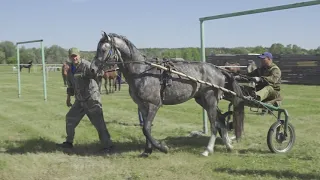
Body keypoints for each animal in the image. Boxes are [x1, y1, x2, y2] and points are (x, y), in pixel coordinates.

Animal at [90, 32, 245, 158]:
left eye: (103, 49)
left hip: (210, 100)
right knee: (221, 121)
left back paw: (208, 150)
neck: (141, 71)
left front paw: (162, 147)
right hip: (202, 100)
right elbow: (146, 128)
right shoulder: (142, 106)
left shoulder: (154, 104)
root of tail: (218, 70)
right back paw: (228, 145)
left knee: (214, 125)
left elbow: (146, 128)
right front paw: (147, 151)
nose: (92, 69)